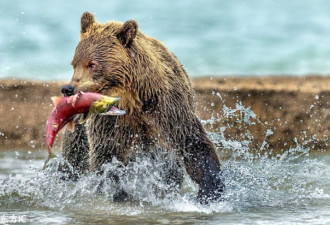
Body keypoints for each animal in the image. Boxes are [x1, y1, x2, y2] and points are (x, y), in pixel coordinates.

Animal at [60, 11, 224, 204]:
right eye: (74, 64)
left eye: (92, 64)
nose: (68, 89)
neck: (133, 99)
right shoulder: (111, 120)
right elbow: (107, 154)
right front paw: (114, 191)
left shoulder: (167, 107)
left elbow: (191, 141)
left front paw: (209, 190)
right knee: (73, 157)